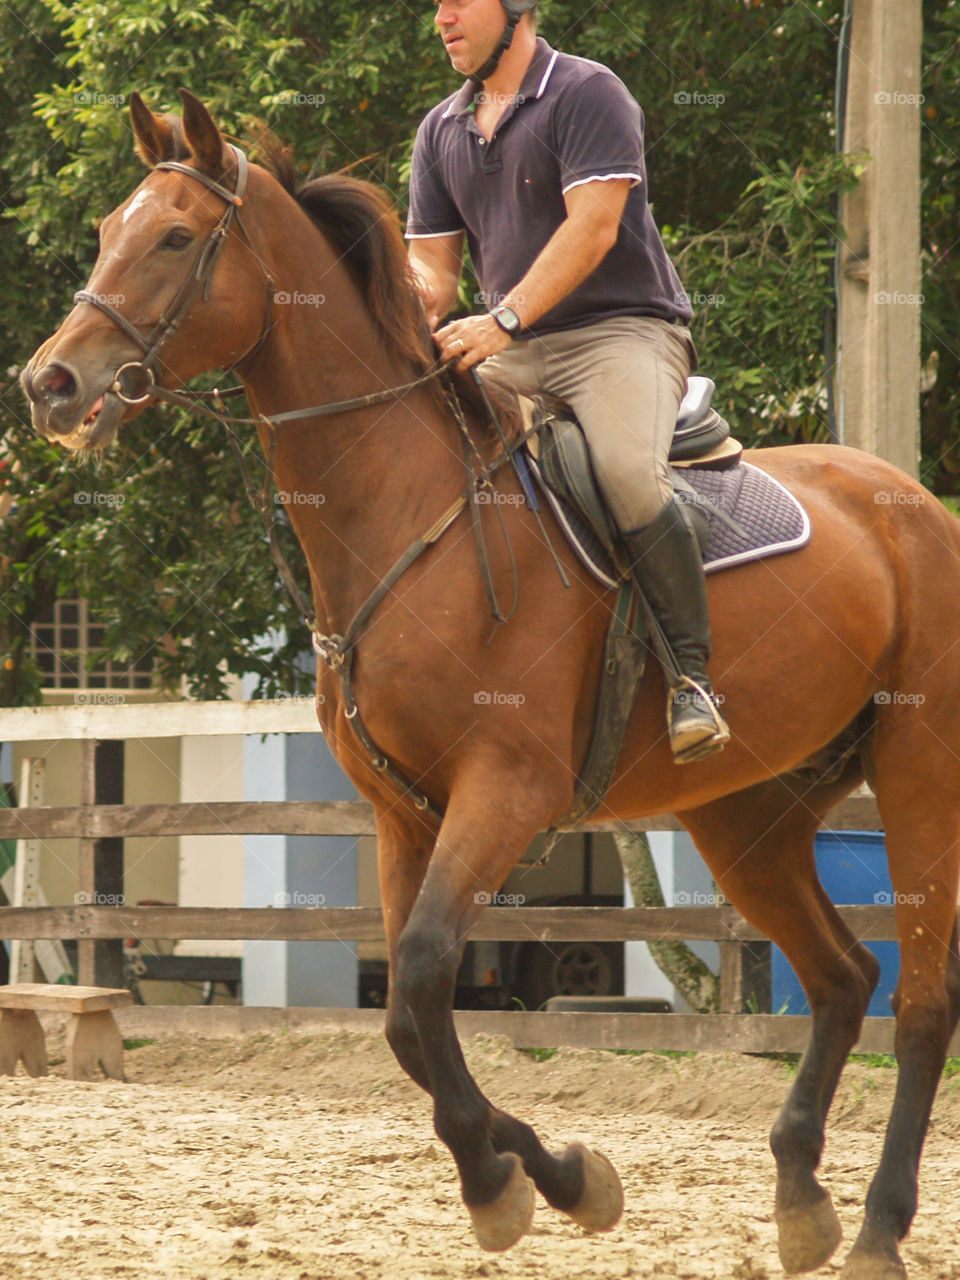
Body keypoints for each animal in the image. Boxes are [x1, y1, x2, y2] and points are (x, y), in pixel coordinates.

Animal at [21, 90, 960, 1279]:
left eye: (177, 239)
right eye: (110, 229)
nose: (50, 385)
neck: (403, 512)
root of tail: (912, 502)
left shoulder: (506, 790)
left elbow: (424, 973)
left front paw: (506, 1183)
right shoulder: (401, 812)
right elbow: (403, 1023)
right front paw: (558, 1174)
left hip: (919, 775)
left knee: (922, 1001)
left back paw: (880, 1225)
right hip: (749, 814)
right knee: (843, 976)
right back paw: (802, 1199)